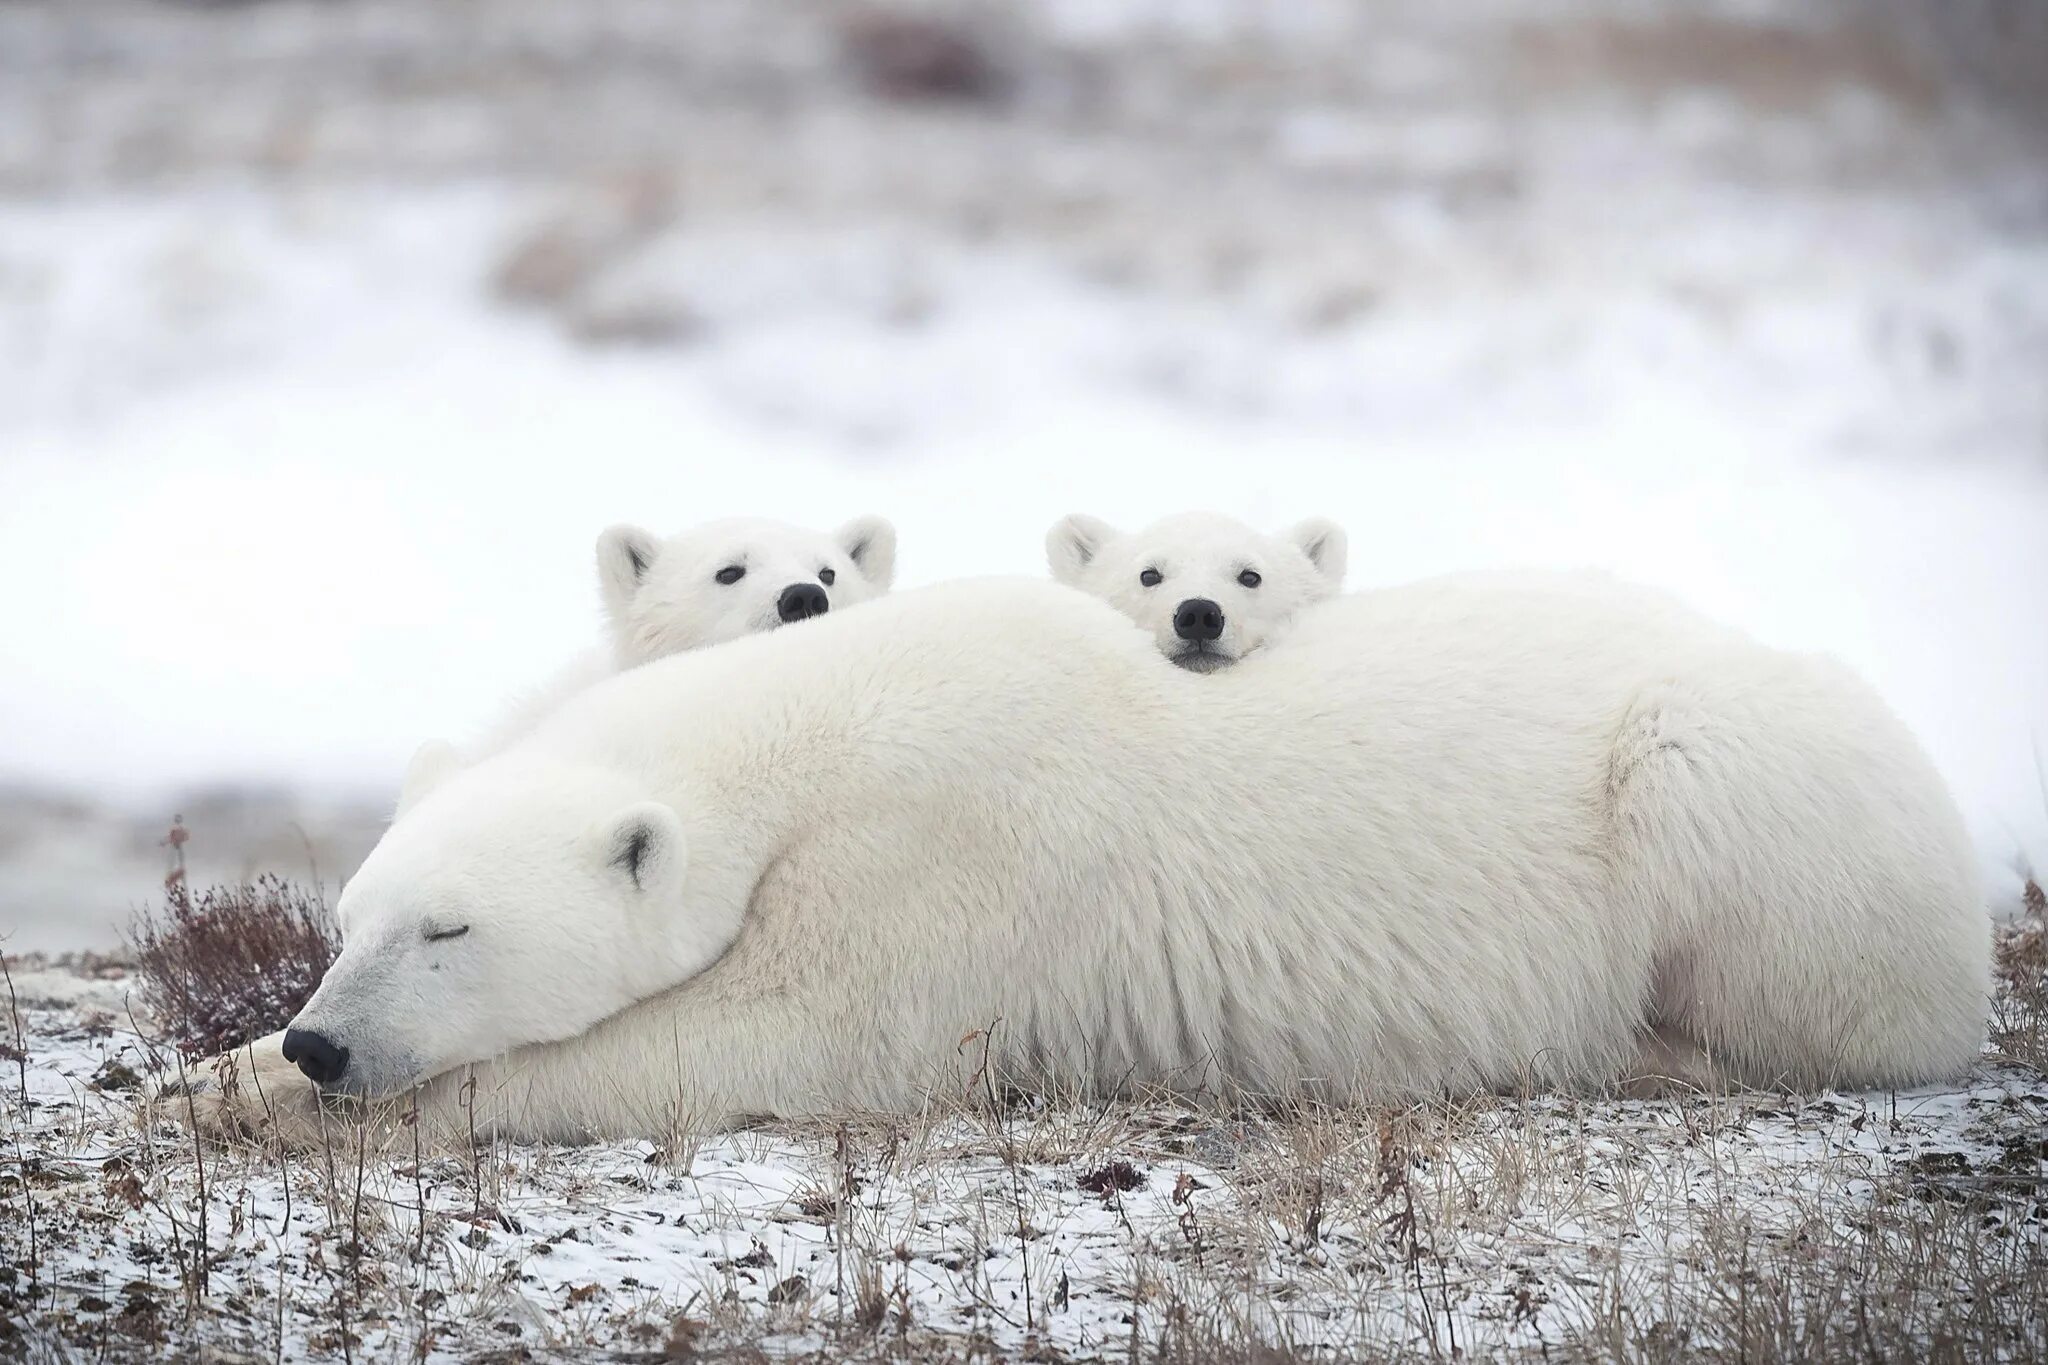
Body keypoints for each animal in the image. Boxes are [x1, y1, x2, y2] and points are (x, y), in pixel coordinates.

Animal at [188, 573, 1982, 1146]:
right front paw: (214, 1082)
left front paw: (337, 1113)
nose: (325, 1040)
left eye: (450, 931)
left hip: (1731, 778)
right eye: (351, 920)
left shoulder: (959, 850)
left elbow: (776, 1040)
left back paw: (1653, 1045)